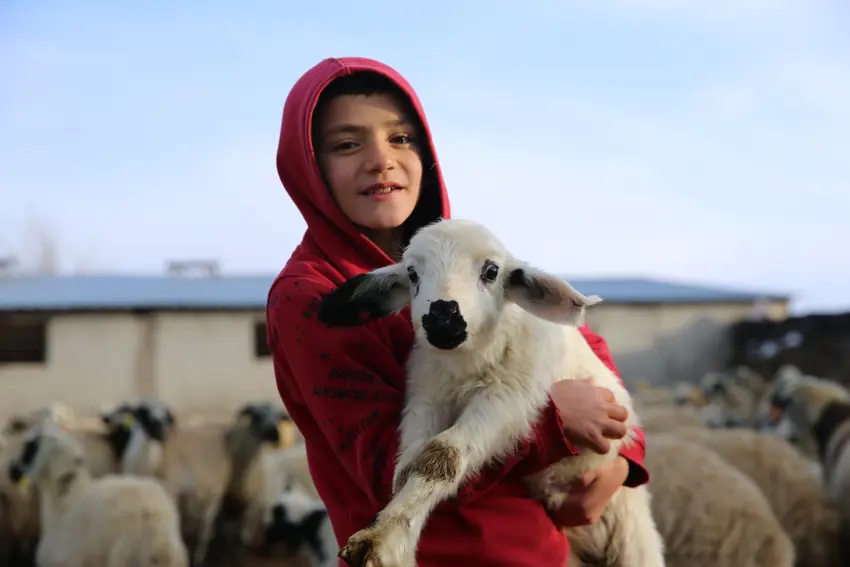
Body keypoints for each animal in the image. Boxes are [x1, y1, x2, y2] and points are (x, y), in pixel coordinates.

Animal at [316, 219, 664, 567]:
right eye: (412, 274)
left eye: (492, 271)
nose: (442, 318)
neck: (466, 363)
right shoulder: (426, 398)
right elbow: (407, 466)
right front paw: (389, 535)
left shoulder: (507, 398)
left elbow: (441, 456)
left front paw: (384, 539)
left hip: (633, 536)